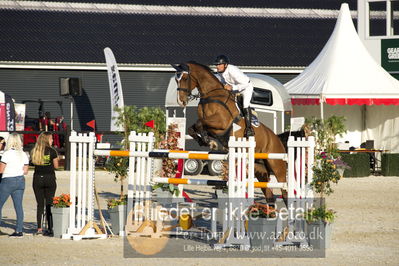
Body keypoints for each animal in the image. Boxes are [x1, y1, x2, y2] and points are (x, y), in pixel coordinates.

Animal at [172, 61, 288, 204]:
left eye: (185, 78)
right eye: (176, 80)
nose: (181, 101)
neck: (211, 95)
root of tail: (276, 138)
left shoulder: (221, 122)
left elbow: (200, 124)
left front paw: (209, 141)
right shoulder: (209, 124)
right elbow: (192, 128)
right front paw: (206, 141)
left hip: (277, 165)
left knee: (284, 190)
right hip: (260, 169)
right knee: (269, 194)